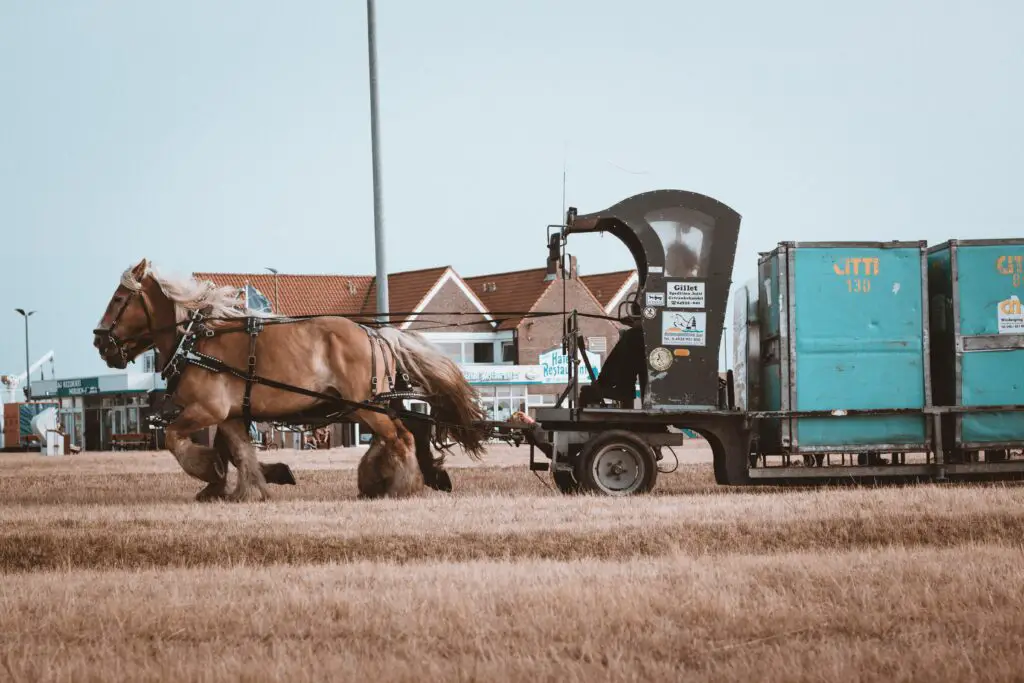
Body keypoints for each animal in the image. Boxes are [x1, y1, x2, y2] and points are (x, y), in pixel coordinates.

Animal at [93, 259, 487, 499]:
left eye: (118, 298)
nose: (99, 341)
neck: (195, 340)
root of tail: (375, 333)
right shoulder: (232, 415)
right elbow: (241, 452)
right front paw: (251, 487)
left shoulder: (207, 410)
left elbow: (176, 440)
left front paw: (209, 471)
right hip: (365, 405)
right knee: (400, 434)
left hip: (363, 406)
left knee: (401, 437)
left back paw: (401, 485)